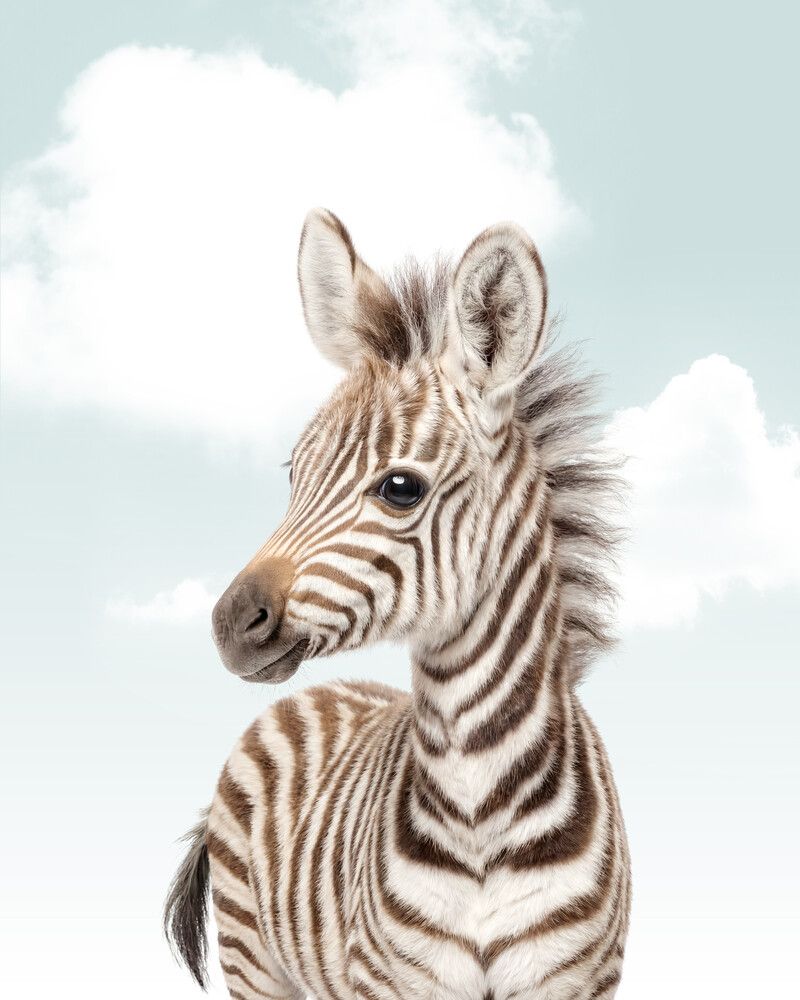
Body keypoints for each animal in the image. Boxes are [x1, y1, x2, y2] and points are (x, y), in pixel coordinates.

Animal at [164, 209, 631, 999]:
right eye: (294, 473)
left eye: (401, 489)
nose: (230, 625)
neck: (479, 805)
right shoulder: (389, 980)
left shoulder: (576, 980)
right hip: (253, 956)